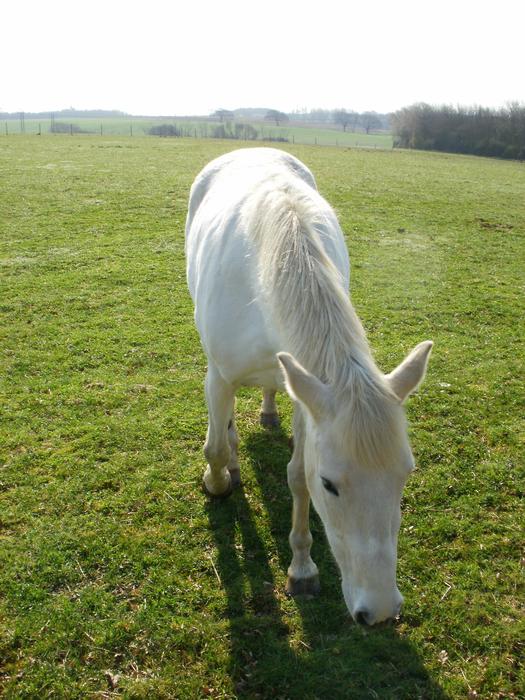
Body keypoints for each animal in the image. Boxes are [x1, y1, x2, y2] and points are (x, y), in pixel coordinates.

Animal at [185, 148, 432, 625]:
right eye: (330, 484)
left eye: (406, 474)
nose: (379, 610)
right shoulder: (220, 376)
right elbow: (216, 449)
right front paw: (218, 481)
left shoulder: (309, 396)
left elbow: (296, 475)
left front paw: (301, 569)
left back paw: (266, 411)